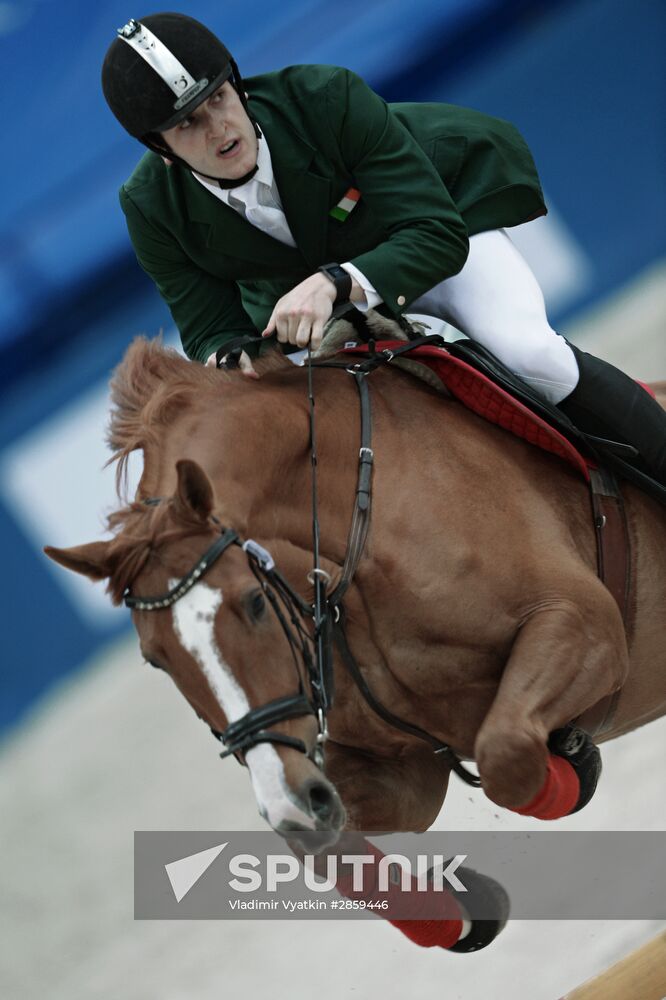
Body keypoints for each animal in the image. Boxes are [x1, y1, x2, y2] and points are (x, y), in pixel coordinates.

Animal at [45, 336, 664, 836]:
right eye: (155, 659)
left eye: (254, 603)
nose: (288, 803)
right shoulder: (399, 772)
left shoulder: (583, 623)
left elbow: (506, 754)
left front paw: (578, 763)